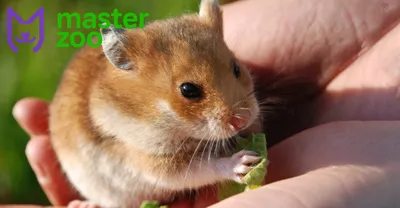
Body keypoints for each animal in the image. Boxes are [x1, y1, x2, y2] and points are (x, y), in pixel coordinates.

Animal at [48, 0, 264, 206]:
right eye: (188, 90)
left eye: (236, 68)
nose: (242, 120)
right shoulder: (154, 161)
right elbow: (204, 167)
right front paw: (246, 162)